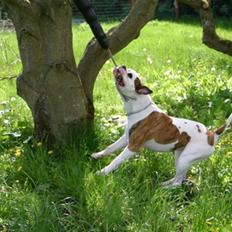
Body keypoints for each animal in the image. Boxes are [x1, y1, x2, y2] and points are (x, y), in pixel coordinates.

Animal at [91, 66, 231, 188]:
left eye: (130, 75)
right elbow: (110, 148)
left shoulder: (132, 147)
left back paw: (163, 189)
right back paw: (164, 183)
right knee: (180, 177)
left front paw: (102, 172)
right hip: (180, 156)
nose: (123, 66)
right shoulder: (125, 139)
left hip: (185, 158)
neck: (139, 105)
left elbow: (116, 161)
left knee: (178, 183)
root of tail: (212, 135)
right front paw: (97, 155)